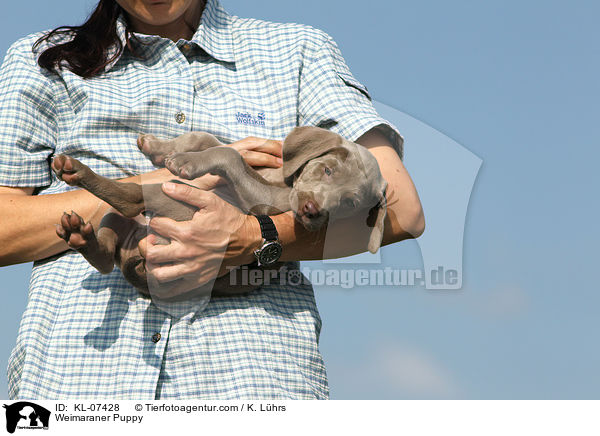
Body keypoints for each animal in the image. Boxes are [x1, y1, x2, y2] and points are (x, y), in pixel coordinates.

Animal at [52, 124, 390, 298]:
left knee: (132, 199)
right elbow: (207, 139)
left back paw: (77, 171)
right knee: (106, 253)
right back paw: (81, 235)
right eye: (328, 170)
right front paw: (159, 148)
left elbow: (227, 153)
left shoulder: (268, 200)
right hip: (121, 226)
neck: (282, 180)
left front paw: (184, 162)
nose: (311, 211)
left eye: (349, 203)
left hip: (169, 199)